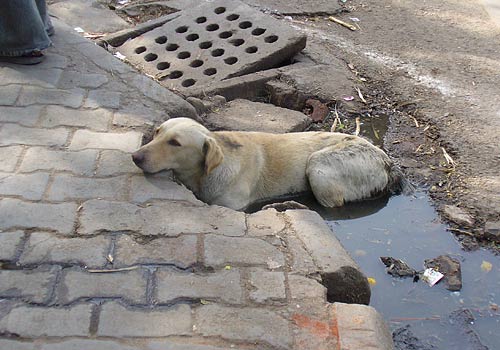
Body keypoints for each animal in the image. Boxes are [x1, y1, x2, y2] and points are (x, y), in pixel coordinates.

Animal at [132, 117, 402, 211]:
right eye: (157, 132)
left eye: (175, 143)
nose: (135, 156)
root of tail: (387, 161)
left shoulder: (233, 205)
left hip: (319, 164)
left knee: (332, 204)